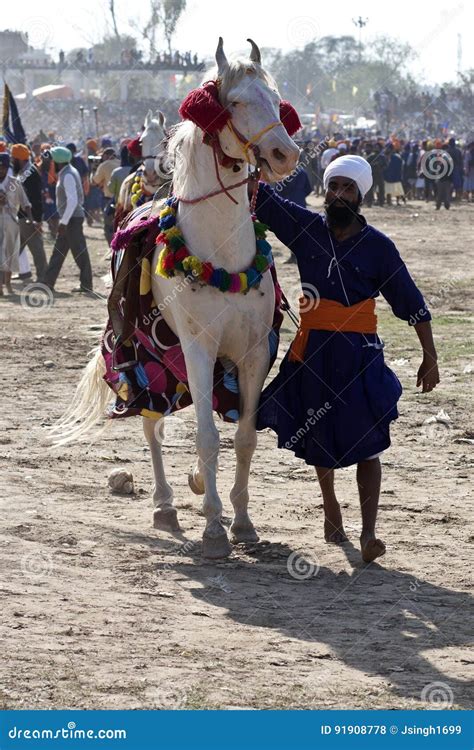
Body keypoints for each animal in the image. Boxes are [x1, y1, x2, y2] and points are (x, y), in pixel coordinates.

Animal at [53, 39, 298, 560]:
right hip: (148, 361)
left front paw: (241, 521)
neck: (222, 253)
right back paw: (165, 504)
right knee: (153, 424)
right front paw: (213, 529)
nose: (284, 153)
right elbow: (207, 438)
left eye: (275, 98)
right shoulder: (199, 348)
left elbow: (244, 439)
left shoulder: (252, 354)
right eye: (235, 101)